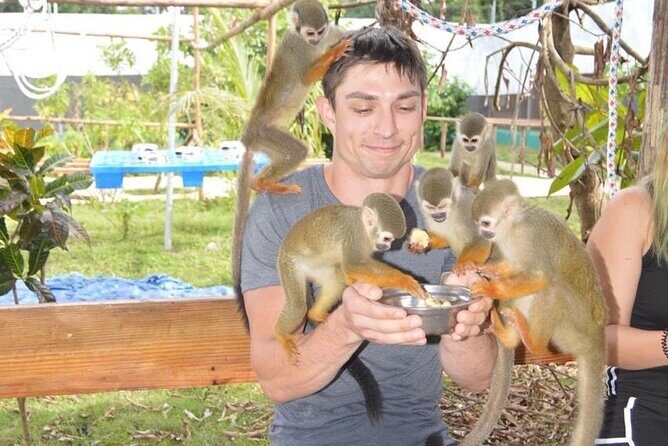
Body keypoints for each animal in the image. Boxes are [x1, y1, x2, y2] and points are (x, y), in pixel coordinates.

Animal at [233, 0, 352, 329]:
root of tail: (249, 134)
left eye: (320, 31)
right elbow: (306, 76)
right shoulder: (297, 48)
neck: (310, 44)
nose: (316, 41)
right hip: (267, 134)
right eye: (309, 34)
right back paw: (263, 183)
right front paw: (333, 54)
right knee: (297, 151)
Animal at [458, 179, 607, 446]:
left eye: (485, 224)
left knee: (552, 289)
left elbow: (539, 277)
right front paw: (484, 269)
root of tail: (598, 336)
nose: (484, 234)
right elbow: (514, 268)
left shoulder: (531, 237)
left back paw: (534, 343)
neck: (514, 226)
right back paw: (509, 336)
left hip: (576, 330)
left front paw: (490, 287)